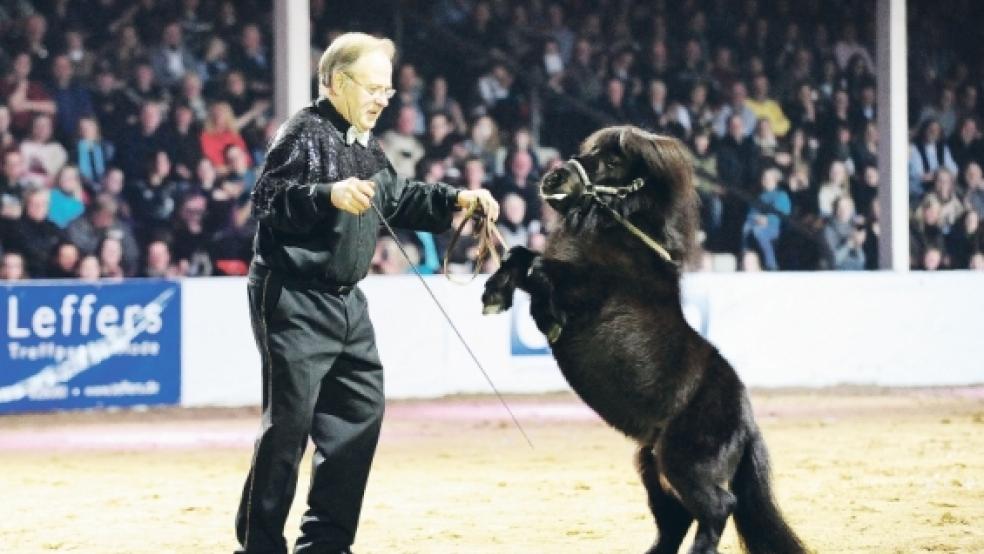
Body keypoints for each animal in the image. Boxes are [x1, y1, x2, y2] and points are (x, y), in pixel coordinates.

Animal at [482, 126, 808, 552]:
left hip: (684, 465)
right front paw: (497, 292)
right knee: (676, 521)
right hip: (653, 469)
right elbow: (522, 256)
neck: (621, 244)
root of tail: (747, 423)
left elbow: (534, 265)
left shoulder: (581, 292)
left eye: (614, 161)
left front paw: (517, 303)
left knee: (719, 507)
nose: (555, 178)